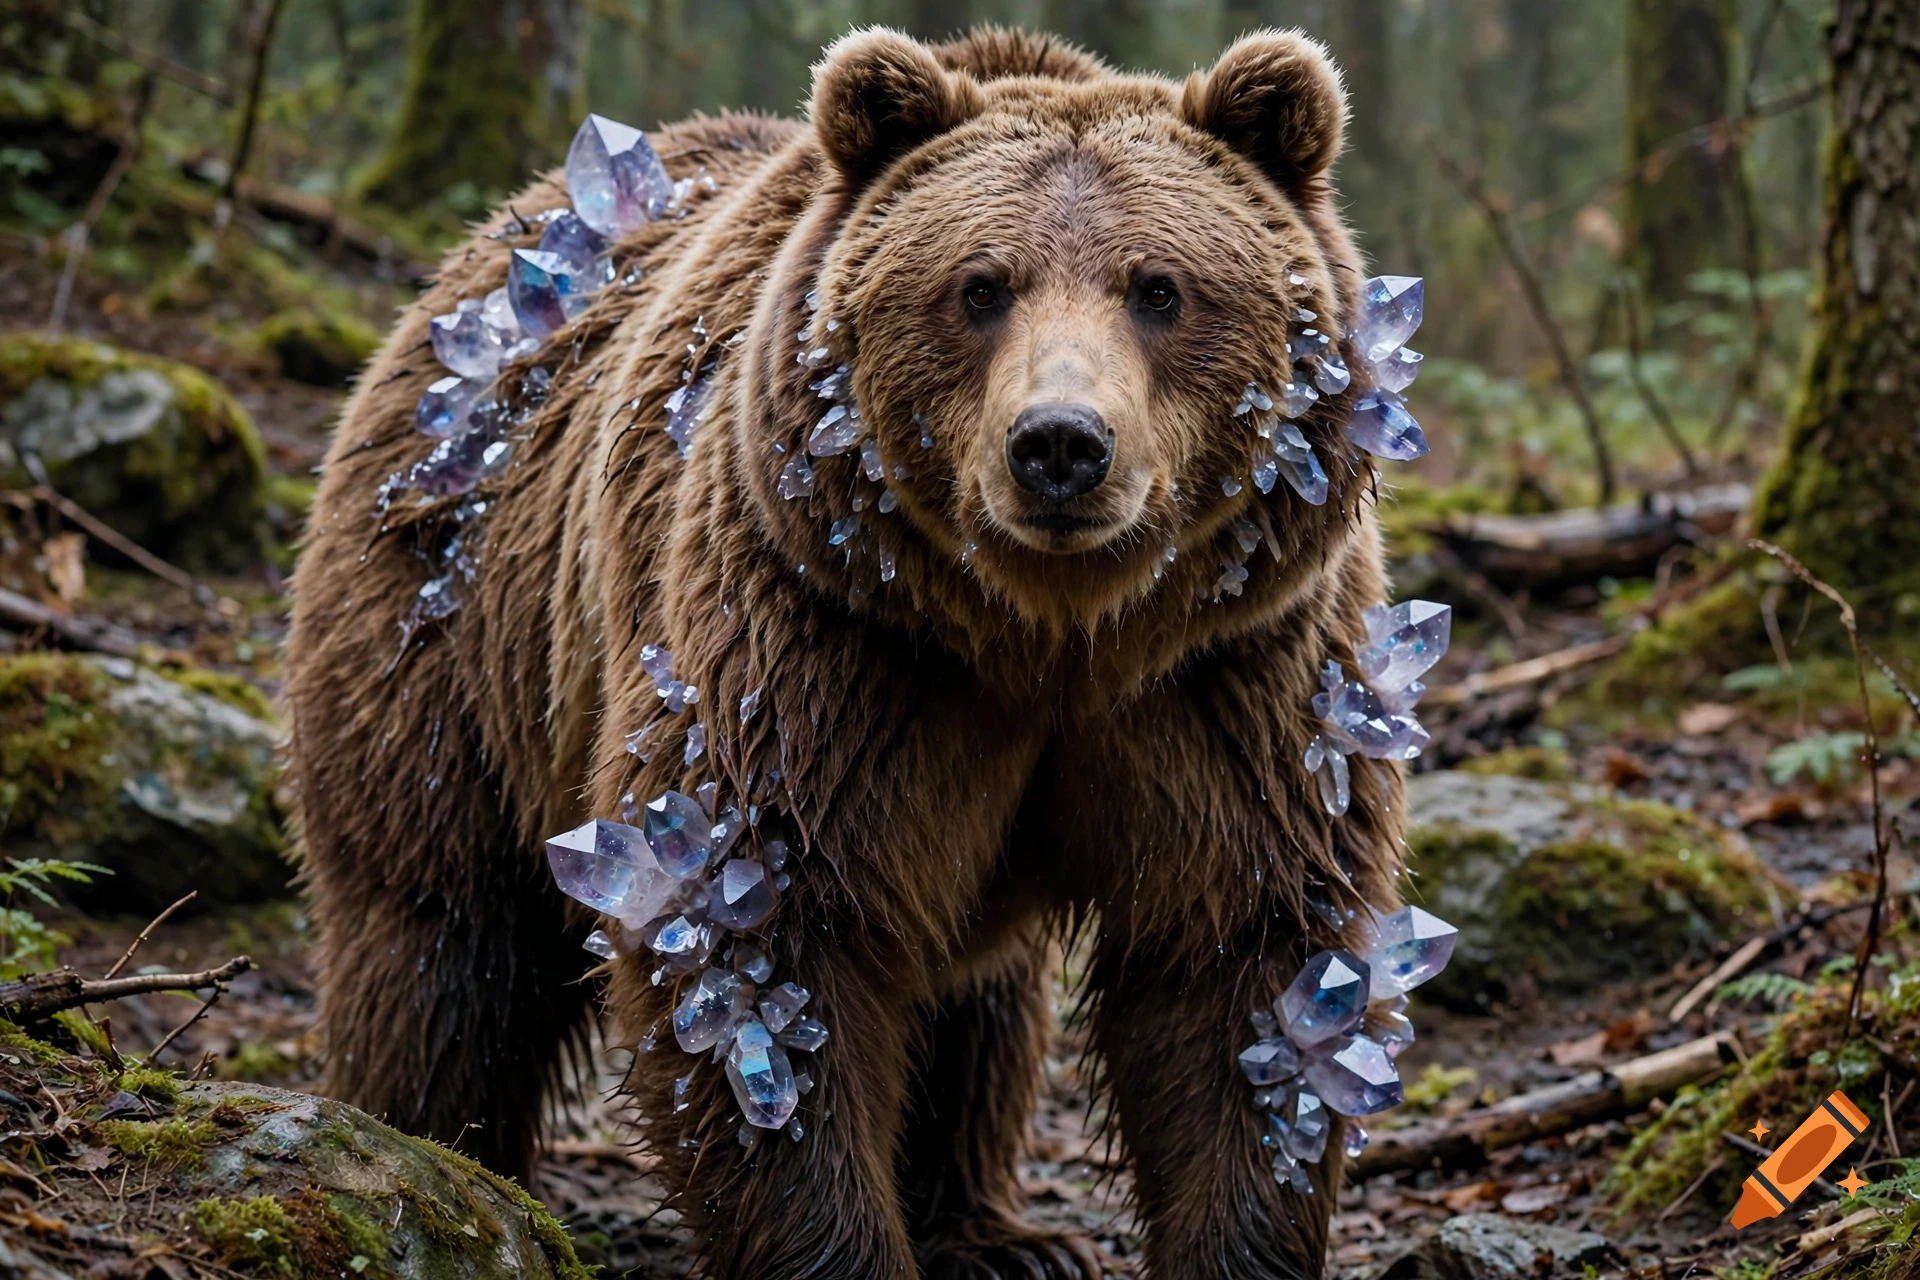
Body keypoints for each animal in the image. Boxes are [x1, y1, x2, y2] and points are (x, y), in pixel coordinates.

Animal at [285, 24, 1408, 1280]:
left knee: (979, 1000)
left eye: (1159, 287)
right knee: (440, 936)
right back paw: (432, 1152)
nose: (1060, 445)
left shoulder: (1234, 676)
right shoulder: (822, 644)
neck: (1048, 636)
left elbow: (1246, 967)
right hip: (455, 632)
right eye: (981, 285)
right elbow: (762, 951)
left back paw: (995, 1229)